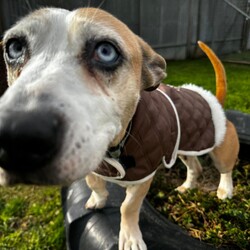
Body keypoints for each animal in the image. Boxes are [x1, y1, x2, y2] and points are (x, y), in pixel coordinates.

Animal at [0, 6, 238, 249]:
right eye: (14, 47)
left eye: (106, 51)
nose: (18, 136)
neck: (116, 145)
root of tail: (212, 98)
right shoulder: (93, 162)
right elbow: (93, 183)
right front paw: (97, 200)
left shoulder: (143, 179)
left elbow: (127, 207)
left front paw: (130, 238)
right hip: (185, 148)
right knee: (195, 167)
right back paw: (187, 186)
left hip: (220, 149)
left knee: (226, 169)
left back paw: (225, 190)